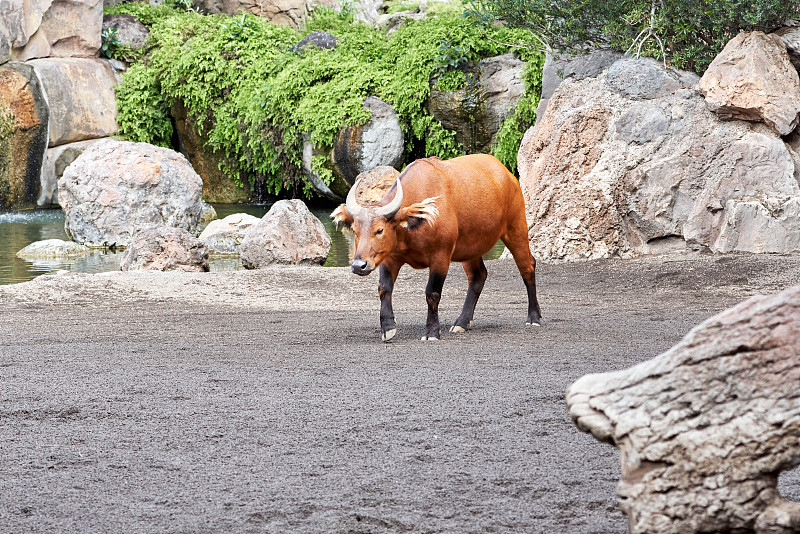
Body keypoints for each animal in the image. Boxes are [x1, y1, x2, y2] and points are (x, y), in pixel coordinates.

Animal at [332, 154, 544, 344]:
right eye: (355, 230)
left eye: (379, 230)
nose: (359, 265)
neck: (411, 227)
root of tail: (506, 174)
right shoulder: (389, 258)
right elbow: (384, 289)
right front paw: (388, 328)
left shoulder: (441, 256)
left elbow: (432, 293)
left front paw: (432, 331)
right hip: (470, 249)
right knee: (478, 276)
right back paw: (462, 322)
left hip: (515, 227)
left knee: (527, 266)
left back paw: (534, 317)